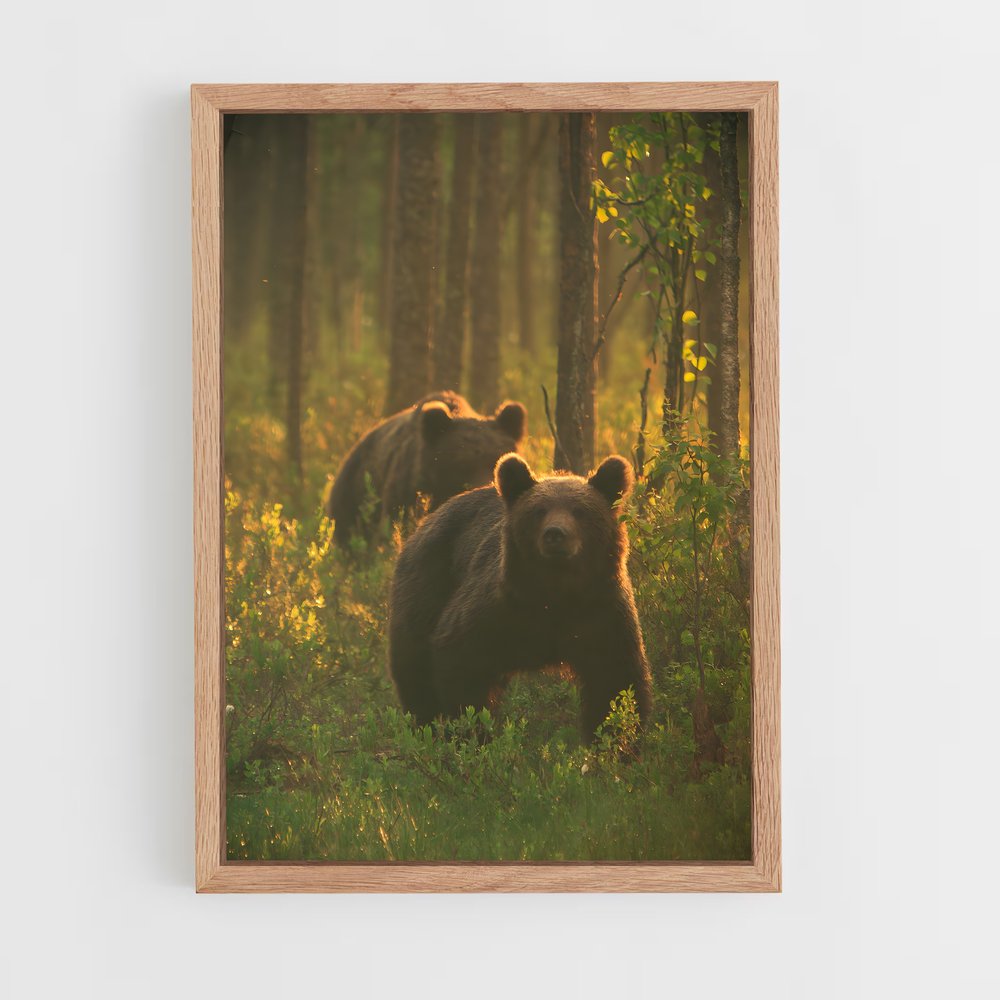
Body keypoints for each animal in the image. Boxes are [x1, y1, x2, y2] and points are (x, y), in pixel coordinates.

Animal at [388, 452, 652, 737]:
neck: (556, 593)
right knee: (413, 668)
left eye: (579, 511)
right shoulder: (498, 610)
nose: (555, 534)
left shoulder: (600, 613)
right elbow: (461, 661)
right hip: (427, 584)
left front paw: (615, 738)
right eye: (539, 511)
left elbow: (615, 680)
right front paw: (473, 731)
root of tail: (423, 523)